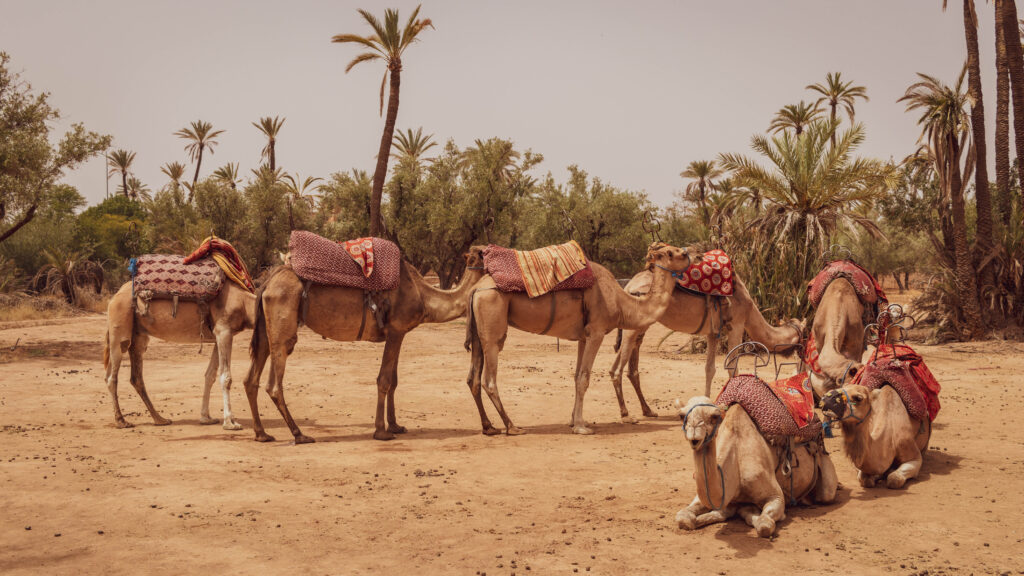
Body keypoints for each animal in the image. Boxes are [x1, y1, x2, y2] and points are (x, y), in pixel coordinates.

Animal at [103, 280, 256, 430]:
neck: (244, 302)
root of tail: (114, 297)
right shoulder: (224, 330)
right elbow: (226, 377)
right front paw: (230, 422)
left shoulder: (218, 336)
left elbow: (210, 375)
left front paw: (206, 418)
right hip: (119, 327)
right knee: (111, 377)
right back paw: (122, 421)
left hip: (138, 336)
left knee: (135, 377)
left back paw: (160, 419)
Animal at [243, 247, 488, 443]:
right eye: (487, 253)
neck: (424, 296)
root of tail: (267, 283)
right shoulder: (397, 330)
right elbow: (384, 380)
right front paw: (382, 431)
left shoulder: (397, 333)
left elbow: (394, 381)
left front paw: (396, 426)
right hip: (282, 326)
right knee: (274, 384)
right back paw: (299, 434)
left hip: (265, 329)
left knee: (250, 379)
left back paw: (262, 434)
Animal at [463, 242, 698, 436]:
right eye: (672, 252)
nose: (693, 254)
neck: (621, 303)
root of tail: (475, 290)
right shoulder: (596, 331)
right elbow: (584, 378)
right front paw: (581, 427)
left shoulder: (583, 337)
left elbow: (576, 376)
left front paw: (573, 420)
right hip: (493, 322)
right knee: (489, 379)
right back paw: (511, 426)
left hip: (478, 332)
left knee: (472, 378)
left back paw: (489, 427)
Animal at [609, 274, 802, 419]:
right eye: (803, 333)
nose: (803, 353)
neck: (750, 309)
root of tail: (628, 287)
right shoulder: (737, 325)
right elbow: (732, 367)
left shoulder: (712, 333)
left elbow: (710, 368)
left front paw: (707, 403)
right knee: (619, 367)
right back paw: (626, 414)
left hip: (639, 324)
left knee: (621, 366)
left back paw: (647, 410)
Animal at [674, 396, 838, 538]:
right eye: (681, 416)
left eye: (714, 416)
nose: (695, 435)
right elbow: (683, 517)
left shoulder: (775, 496)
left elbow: (764, 525)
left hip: (826, 476)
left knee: (826, 493)